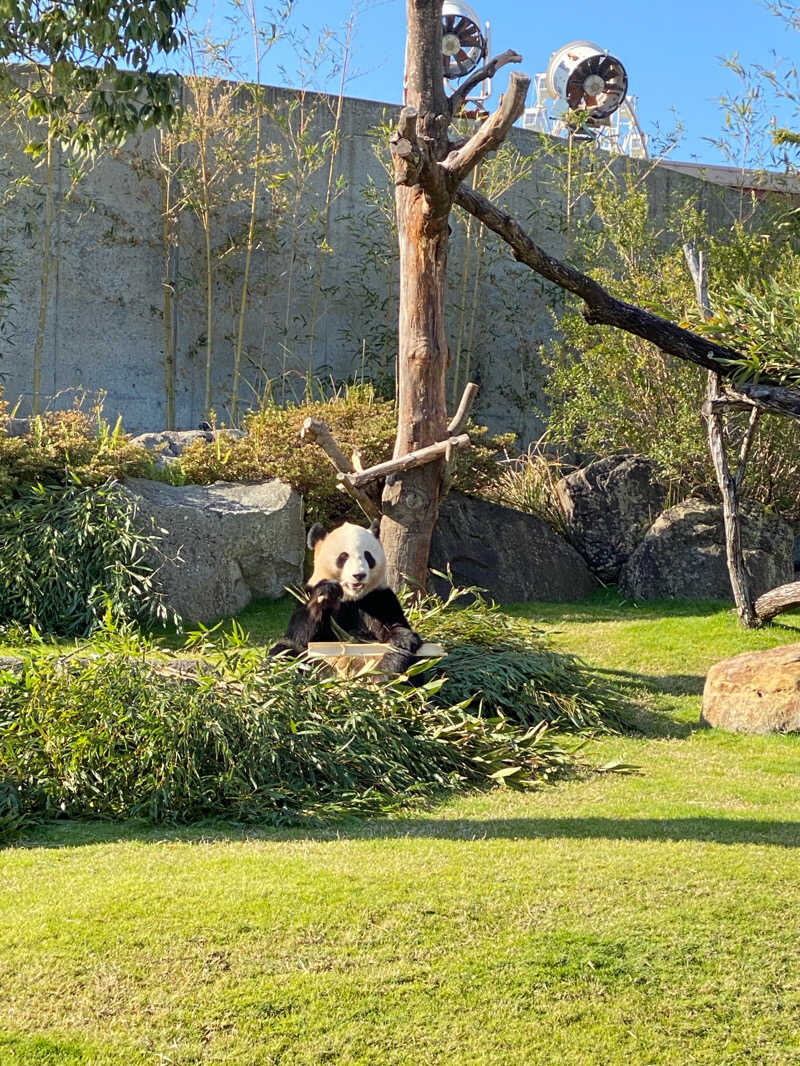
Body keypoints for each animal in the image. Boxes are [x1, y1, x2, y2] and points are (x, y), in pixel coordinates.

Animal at [270, 515, 426, 673]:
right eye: (343, 556)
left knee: (404, 657)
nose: (359, 575)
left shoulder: (377, 597)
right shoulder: (306, 594)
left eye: (368, 556)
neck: (351, 598)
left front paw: (403, 639)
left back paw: (385, 673)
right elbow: (301, 636)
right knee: (286, 651)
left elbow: (395, 623)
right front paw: (328, 593)